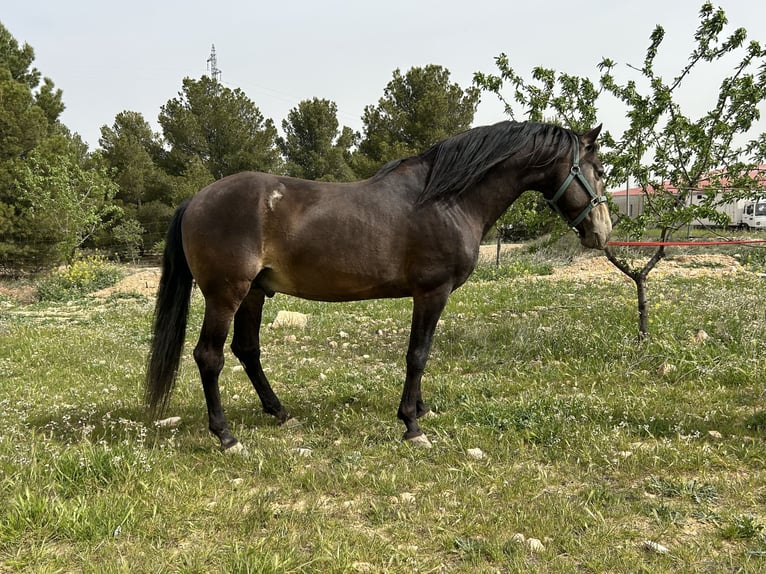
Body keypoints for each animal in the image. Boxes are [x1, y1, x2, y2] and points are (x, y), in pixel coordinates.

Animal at [144, 121, 612, 452]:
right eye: (599, 170)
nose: (603, 232)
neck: (447, 200)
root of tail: (196, 199)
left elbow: (421, 355)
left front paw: (420, 409)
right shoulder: (432, 292)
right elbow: (418, 355)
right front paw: (412, 424)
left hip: (255, 293)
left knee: (247, 350)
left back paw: (280, 413)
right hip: (227, 294)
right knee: (210, 357)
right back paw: (226, 436)